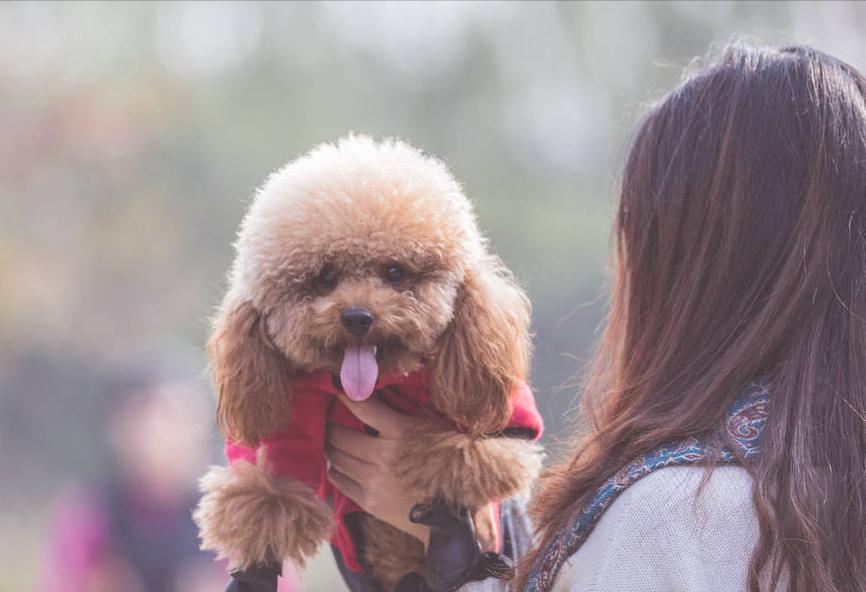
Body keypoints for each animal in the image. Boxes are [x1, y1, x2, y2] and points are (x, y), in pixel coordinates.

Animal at [194, 135, 540, 592]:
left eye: (394, 272)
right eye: (324, 278)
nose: (358, 317)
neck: (383, 384)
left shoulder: (499, 411)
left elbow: (469, 457)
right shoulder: (294, 416)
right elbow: (274, 494)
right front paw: (254, 573)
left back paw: (452, 547)